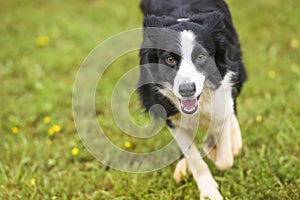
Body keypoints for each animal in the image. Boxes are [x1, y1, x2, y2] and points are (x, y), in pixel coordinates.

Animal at [137, 0, 247, 199]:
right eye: (169, 59)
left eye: (201, 57)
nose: (187, 90)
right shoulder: (168, 111)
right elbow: (193, 156)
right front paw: (209, 192)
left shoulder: (223, 87)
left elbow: (225, 158)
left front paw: (213, 147)